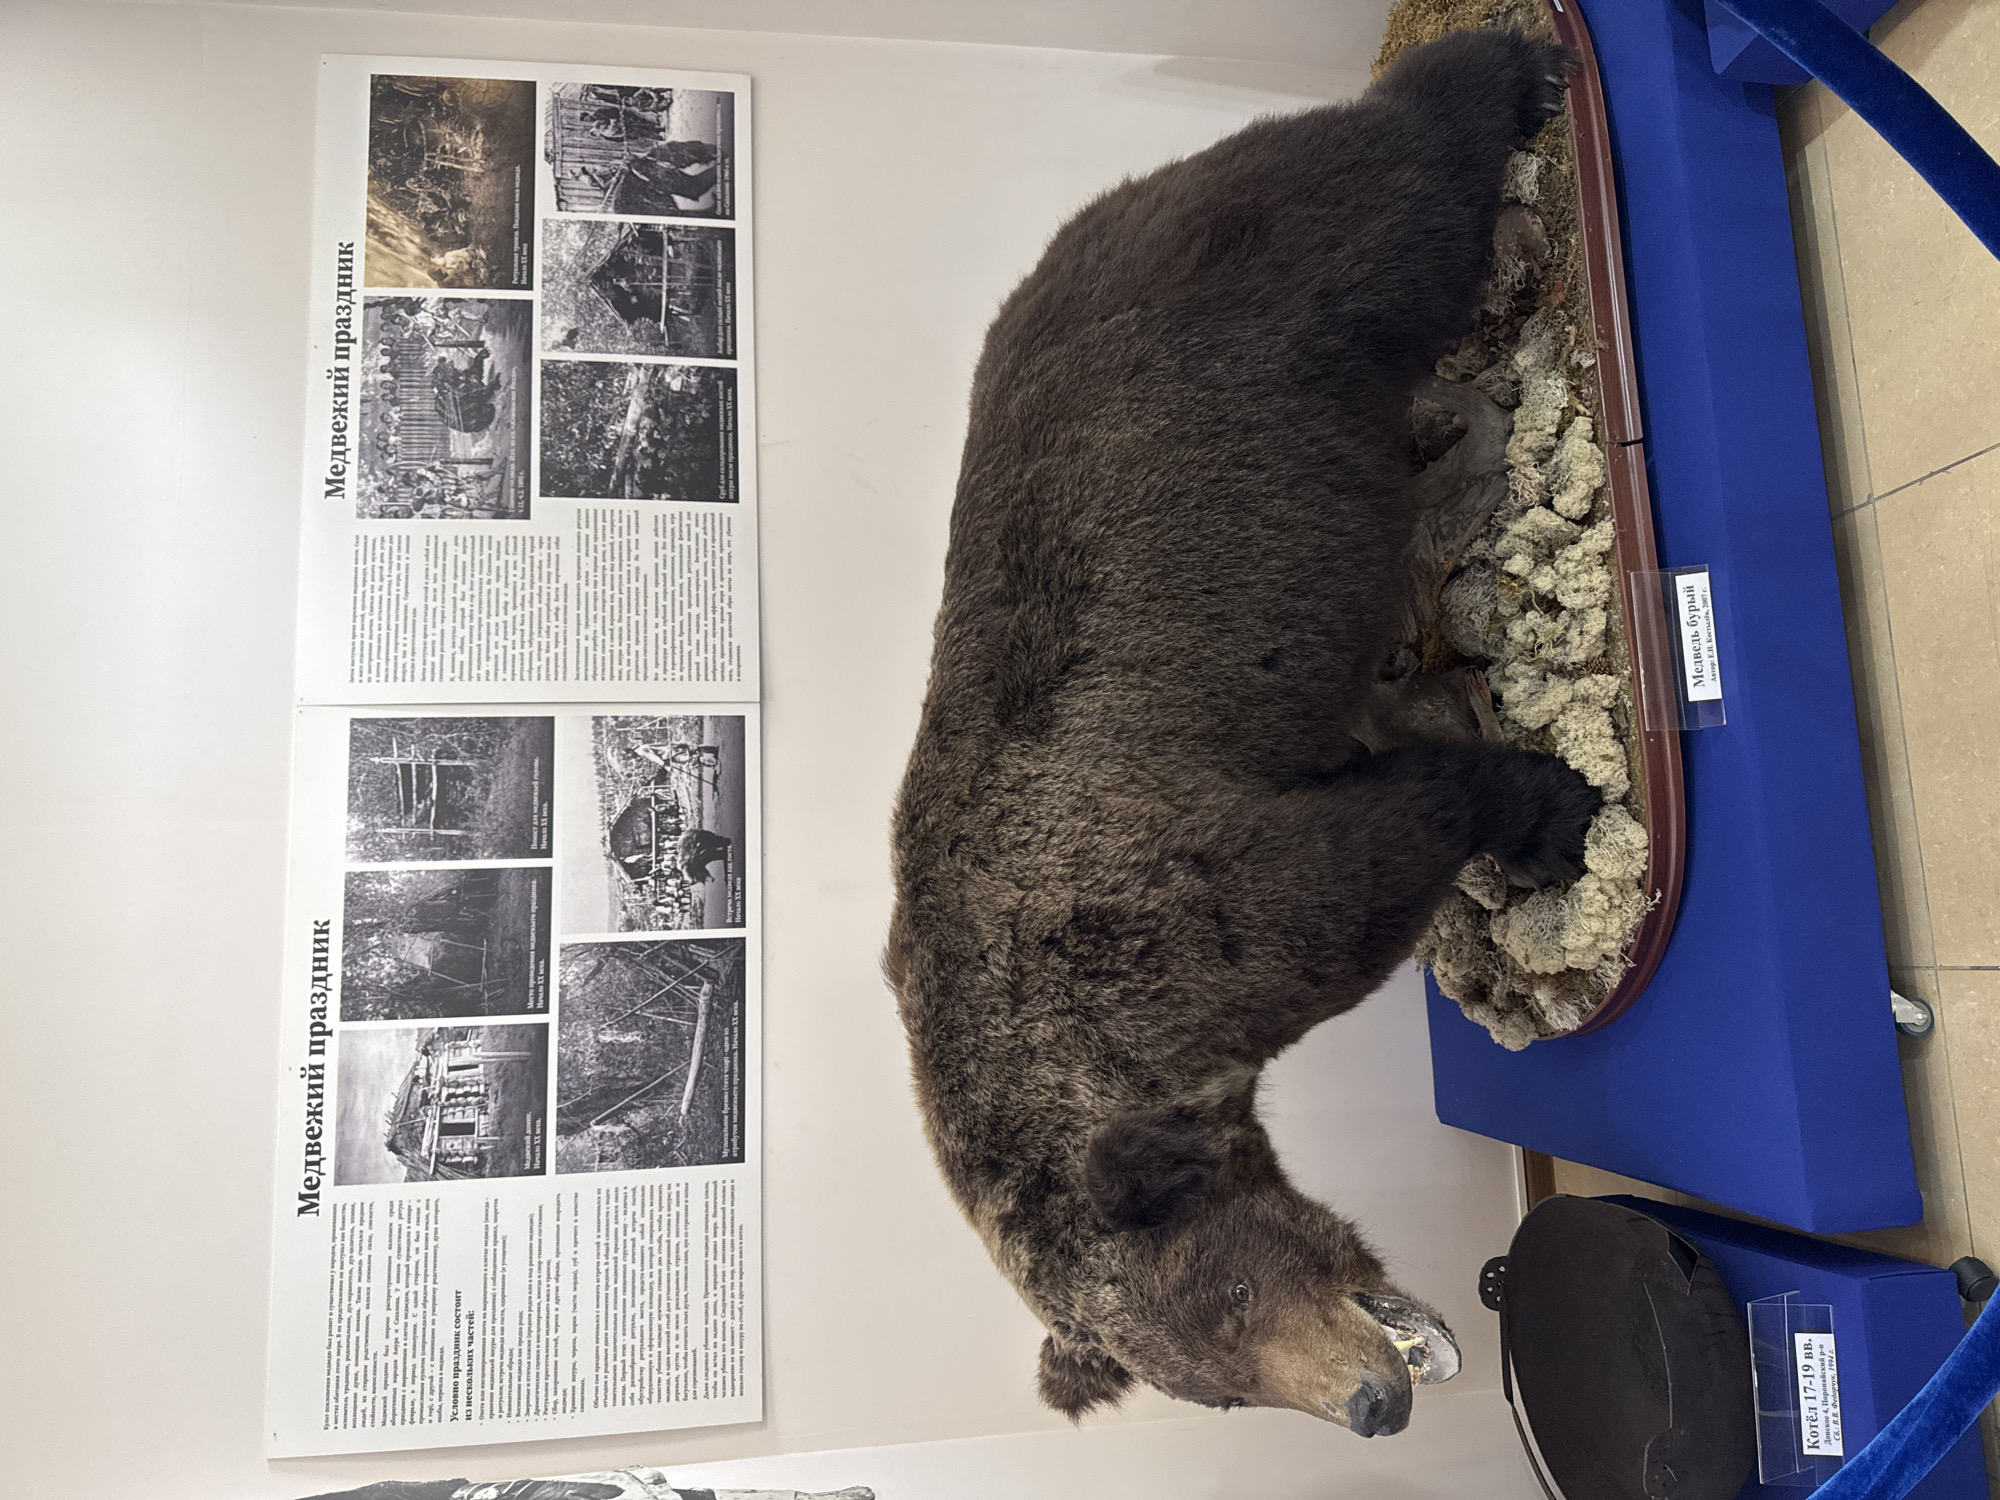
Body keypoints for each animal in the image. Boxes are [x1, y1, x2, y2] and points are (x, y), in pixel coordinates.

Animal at [887, 29, 1595, 1437]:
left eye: (1230, 1292)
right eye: (1214, 1391)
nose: (1373, 1404)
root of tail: (1103, 211)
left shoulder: (1173, 917)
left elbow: (1383, 846)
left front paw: (1548, 818)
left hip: (1282, 285)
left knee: (1399, 188)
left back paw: (1504, 71)